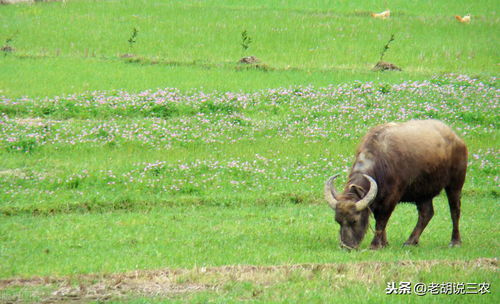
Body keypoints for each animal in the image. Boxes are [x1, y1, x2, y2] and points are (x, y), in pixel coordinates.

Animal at [326, 120, 466, 251]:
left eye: (354, 220)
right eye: (338, 220)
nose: (346, 247)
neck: (380, 163)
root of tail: (456, 138)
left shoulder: (391, 198)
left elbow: (381, 221)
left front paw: (375, 245)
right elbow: (378, 219)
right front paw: (384, 243)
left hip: (456, 183)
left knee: (455, 210)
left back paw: (455, 241)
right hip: (423, 192)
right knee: (426, 213)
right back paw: (411, 241)